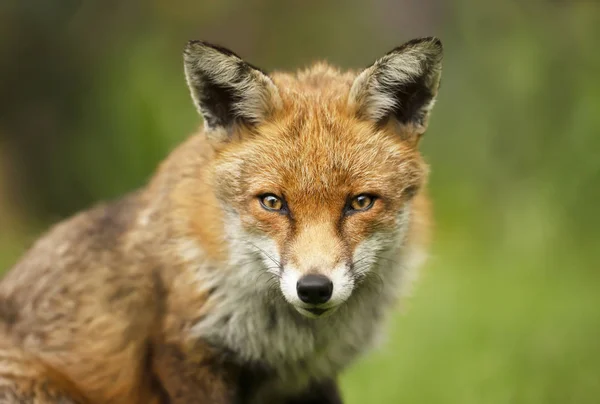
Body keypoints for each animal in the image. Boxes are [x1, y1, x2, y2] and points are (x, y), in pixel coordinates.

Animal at [0, 36, 440, 402]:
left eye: (360, 202)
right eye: (272, 202)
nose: (314, 288)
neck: (288, 341)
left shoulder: (309, 378)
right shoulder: (184, 351)